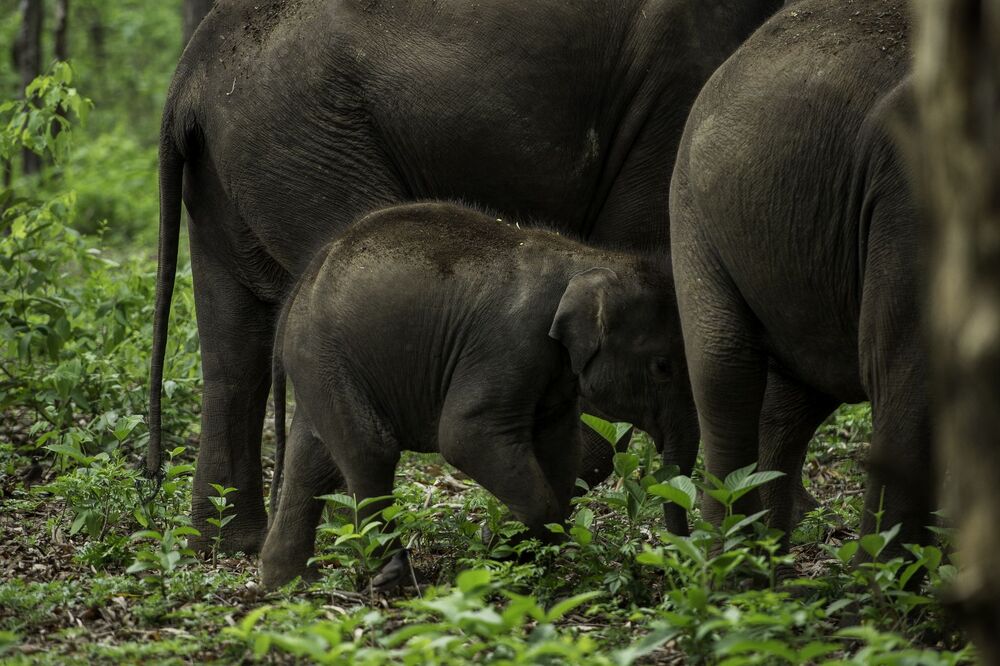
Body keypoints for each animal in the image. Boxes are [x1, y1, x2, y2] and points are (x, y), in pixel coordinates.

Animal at [259, 201, 690, 588]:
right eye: (662, 367)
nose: (673, 566)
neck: (588, 258)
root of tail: (303, 283)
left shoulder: (553, 373)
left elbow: (561, 447)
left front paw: (519, 550)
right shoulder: (510, 343)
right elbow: (465, 436)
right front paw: (518, 548)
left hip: (318, 366)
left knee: (312, 462)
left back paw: (292, 582)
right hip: (327, 357)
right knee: (370, 451)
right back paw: (391, 579)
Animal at [670, 0, 932, 553]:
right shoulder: (910, 190)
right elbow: (906, 369)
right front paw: (886, 574)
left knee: (787, 404)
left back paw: (770, 560)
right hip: (693, 210)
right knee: (726, 369)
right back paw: (733, 566)